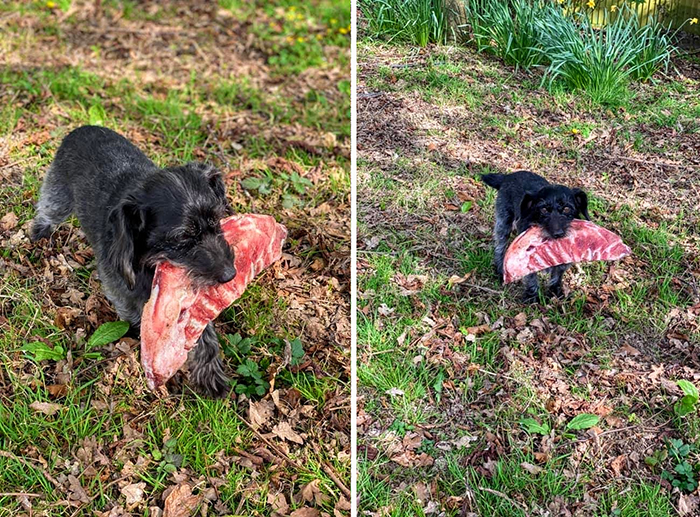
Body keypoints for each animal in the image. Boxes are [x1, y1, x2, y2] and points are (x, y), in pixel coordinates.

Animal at [31, 127, 238, 398]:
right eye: (183, 237)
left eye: (216, 220)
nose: (229, 274)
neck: (149, 259)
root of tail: (82, 128)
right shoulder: (122, 290)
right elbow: (140, 319)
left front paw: (209, 374)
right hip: (58, 197)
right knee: (46, 211)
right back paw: (38, 236)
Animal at [478, 169, 588, 302]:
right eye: (544, 209)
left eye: (567, 209)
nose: (557, 234)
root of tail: (507, 176)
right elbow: (531, 278)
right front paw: (532, 297)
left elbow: (557, 276)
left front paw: (555, 292)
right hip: (503, 222)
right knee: (500, 247)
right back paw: (500, 271)